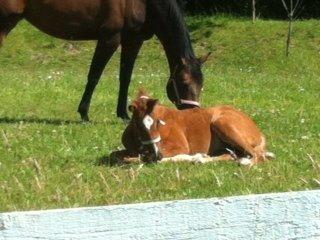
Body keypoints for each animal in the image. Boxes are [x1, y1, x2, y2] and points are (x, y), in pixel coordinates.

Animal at [114, 89, 274, 166]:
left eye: (158, 122)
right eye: (138, 124)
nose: (156, 153)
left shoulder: (179, 147)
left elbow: (145, 158)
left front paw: (192, 156)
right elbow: (117, 156)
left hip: (222, 124)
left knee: (257, 156)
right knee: (233, 154)